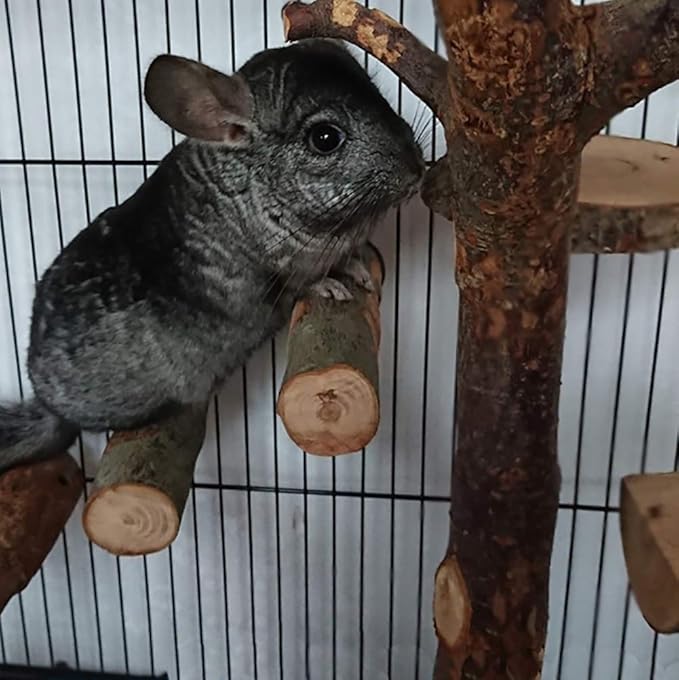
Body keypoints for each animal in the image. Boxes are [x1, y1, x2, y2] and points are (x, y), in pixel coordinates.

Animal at [0, 38, 424, 473]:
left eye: (377, 91)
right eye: (325, 137)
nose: (418, 169)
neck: (253, 188)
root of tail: (47, 404)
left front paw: (358, 268)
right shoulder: (278, 274)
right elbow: (303, 284)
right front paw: (333, 286)